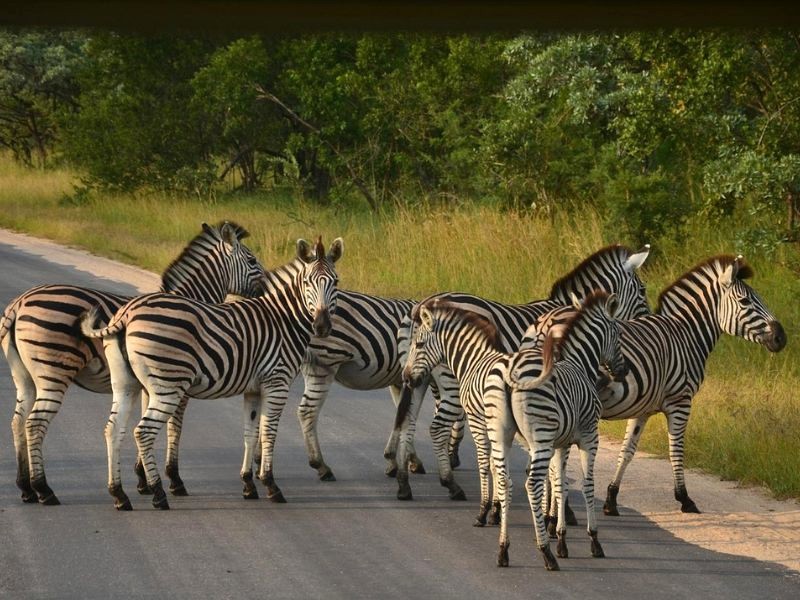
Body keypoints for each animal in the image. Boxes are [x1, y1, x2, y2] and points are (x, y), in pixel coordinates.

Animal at [0, 221, 268, 506]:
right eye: (252, 260)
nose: (267, 289)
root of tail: (19, 303)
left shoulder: (148, 384)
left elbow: (143, 422)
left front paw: (143, 480)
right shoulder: (178, 383)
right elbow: (174, 428)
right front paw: (173, 480)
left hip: (24, 377)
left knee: (17, 421)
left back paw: (26, 488)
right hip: (53, 372)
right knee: (34, 423)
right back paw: (44, 489)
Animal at [79, 237, 342, 508]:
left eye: (336, 282)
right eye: (307, 282)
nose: (322, 326)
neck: (285, 319)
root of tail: (128, 312)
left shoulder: (253, 389)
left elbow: (250, 433)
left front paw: (248, 484)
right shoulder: (277, 382)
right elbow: (268, 433)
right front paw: (271, 486)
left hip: (125, 385)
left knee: (113, 430)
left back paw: (119, 495)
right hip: (168, 386)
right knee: (143, 433)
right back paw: (158, 494)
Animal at [388, 241, 648, 508]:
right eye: (642, 290)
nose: (645, 320)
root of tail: (421, 306)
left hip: (416, 378)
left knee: (408, 421)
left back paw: (404, 483)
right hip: (448, 381)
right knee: (437, 428)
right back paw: (450, 484)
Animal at [400, 292, 624, 568]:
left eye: (419, 344)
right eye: (619, 332)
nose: (406, 377)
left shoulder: (541, 437)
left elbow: (550, 479)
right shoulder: (586, 436)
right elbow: (583, 483)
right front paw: (585, 537)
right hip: (534, 434)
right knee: (527, 479)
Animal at [520, 253, 788, 516]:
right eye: (745, 301)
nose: (781, 338)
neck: (687, 335)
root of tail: (544, 322)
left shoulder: (643, 408)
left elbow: (627, 451)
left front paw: (611, 499)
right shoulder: (681, 401)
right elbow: (676, 450)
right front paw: (684, 498)